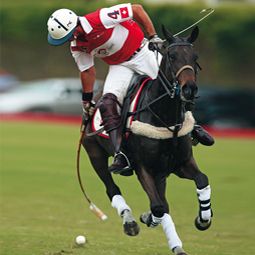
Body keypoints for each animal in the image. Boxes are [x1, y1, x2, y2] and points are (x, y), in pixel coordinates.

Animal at [82, 26, 212, 255]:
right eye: (171, 55)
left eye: (195, 56)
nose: (189, 89)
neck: (166, 118)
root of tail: (93, 102)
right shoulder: (143, 167)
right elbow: (159, 207)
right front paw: (146, 218)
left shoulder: (181, 164)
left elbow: (201, 180)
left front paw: (203, 220)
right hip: (95, 154)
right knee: (112, 188)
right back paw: (130, 222)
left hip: (161, 173)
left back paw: (176, 245)